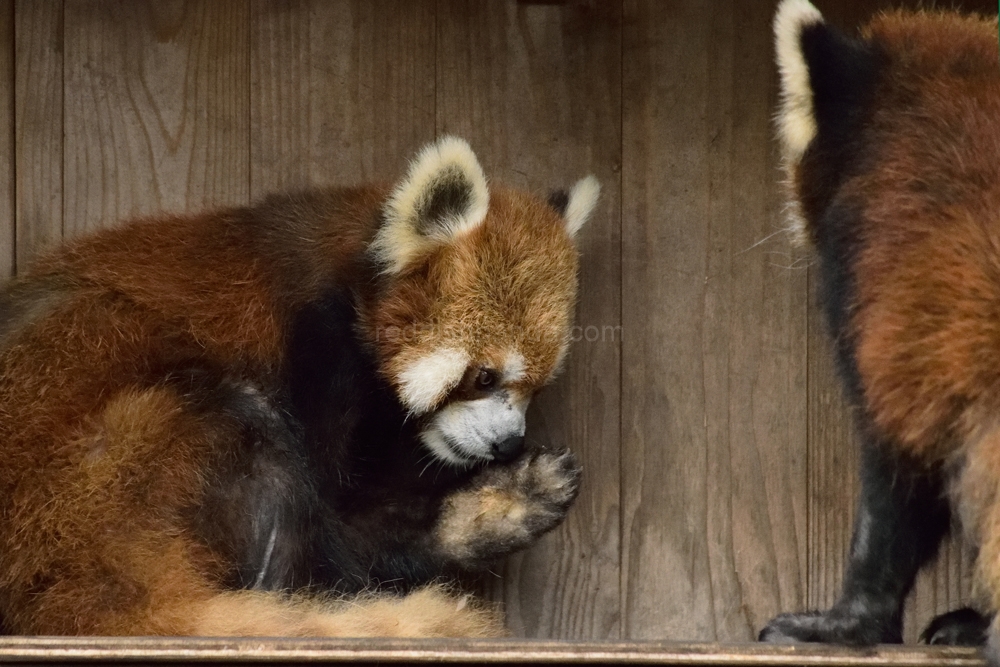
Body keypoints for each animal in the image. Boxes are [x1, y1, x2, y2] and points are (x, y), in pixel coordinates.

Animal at [0, 134, 596, 636]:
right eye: (484, 376)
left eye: (536, 388)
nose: (508, 443)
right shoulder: (315, 352)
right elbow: (337, 507)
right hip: (114, 472)